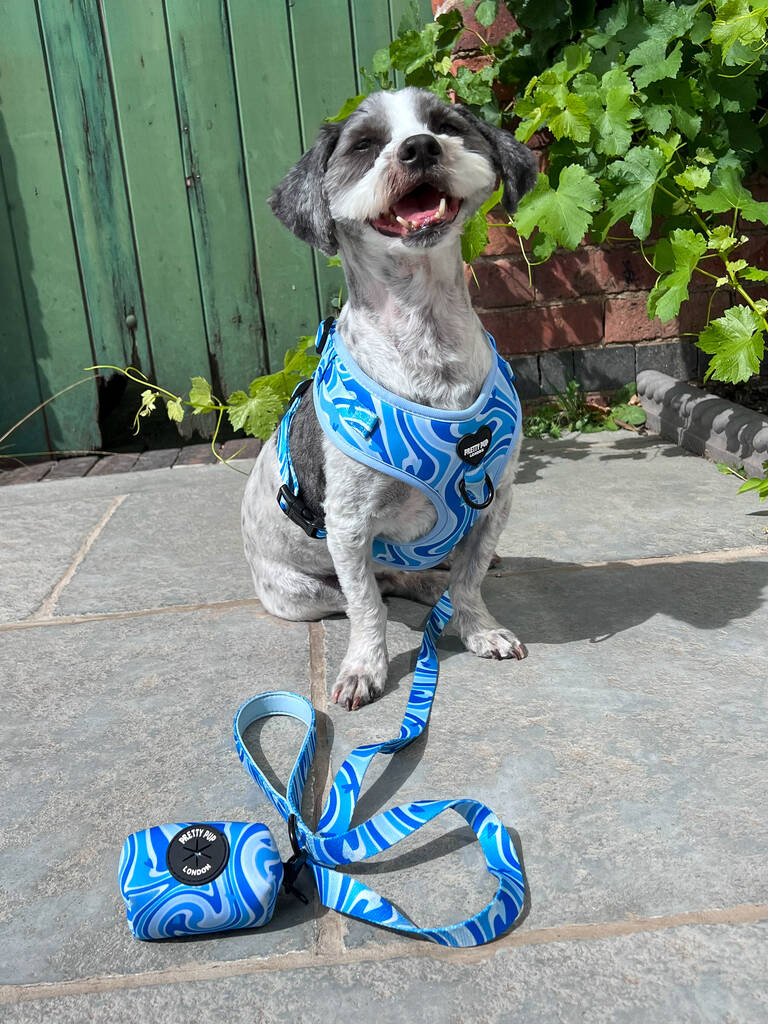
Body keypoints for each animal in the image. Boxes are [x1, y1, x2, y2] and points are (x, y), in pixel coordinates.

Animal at [243, 88, 536, 708]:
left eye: (446, 125)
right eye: (365, 145)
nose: (419, 147)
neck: (427, 338)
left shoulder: (495, 502)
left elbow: (470, 580)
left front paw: (479, 629)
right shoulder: (350, 527)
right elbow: (367, 609)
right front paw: (365, 668)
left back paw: (433, 584)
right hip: (300, 595)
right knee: (375, 588)